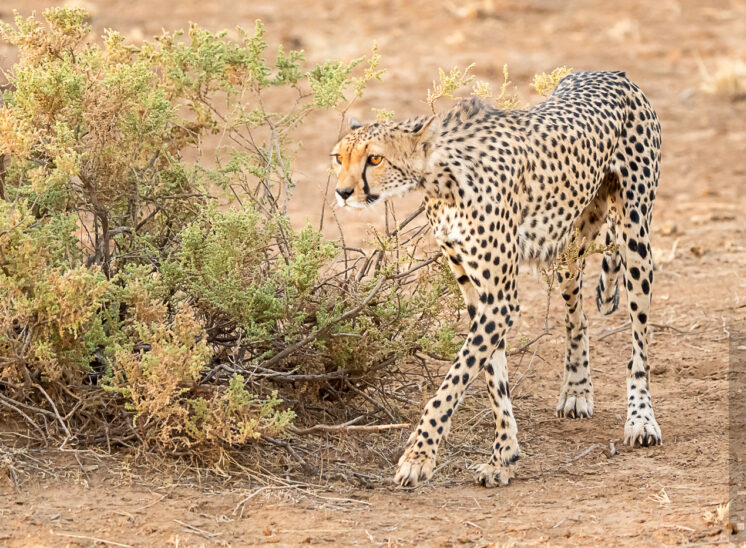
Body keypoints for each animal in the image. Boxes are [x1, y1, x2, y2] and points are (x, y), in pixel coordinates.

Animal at [328, 70, 660, 486]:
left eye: (375, 158)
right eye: (339, 158)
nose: (342, 192)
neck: (441, 177)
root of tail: (610, 73)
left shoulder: (500, 300)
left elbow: (451, 384)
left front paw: (419, 456)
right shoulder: (478, 295)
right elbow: (492, 380)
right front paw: (504, 456)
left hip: (636, 240)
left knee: (639, 342)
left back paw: (642, 419)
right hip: (568, 248)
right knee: (578, 318)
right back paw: (577, 390)